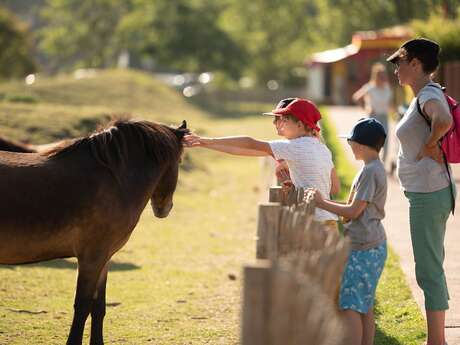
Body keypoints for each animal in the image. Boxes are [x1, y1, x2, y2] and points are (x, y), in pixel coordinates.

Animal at [0, 119, 189, 344]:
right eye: (179, 161)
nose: (163, 209)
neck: (114, 180)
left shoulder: (104, 258)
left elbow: (99, 306)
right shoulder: (91, 258)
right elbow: (83, 306)